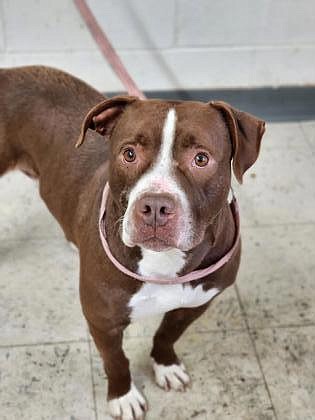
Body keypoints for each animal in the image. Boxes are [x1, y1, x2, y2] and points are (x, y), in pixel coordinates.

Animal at [0, 66, 266, 420]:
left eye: (201, 158)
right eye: (129, 154)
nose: (155, 206)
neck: (163, 264)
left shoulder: (196, 303)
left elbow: (167, 334)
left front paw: (165, 366)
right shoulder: (103, 321)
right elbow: (116, 361)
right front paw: (123, 396)